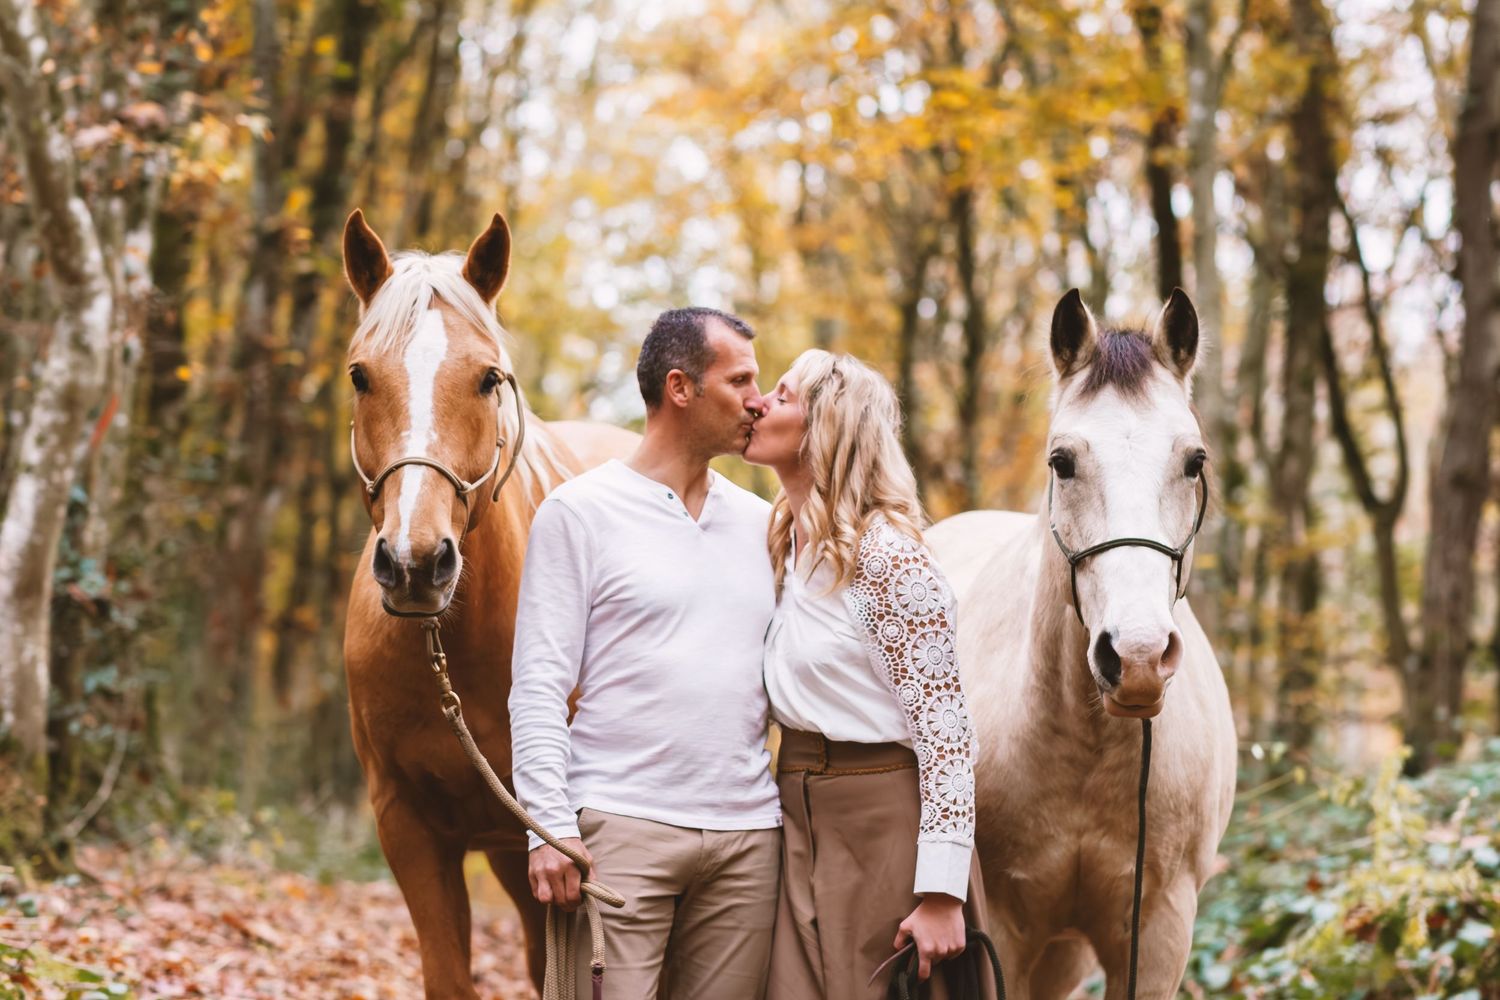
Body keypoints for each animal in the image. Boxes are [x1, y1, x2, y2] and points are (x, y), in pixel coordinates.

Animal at [927, 288, 1237, 1000]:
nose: (1139, 657)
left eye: (1195, 461)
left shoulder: (1156, 933)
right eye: (1061, 462)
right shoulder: (1003, 933)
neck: (1083, 749)